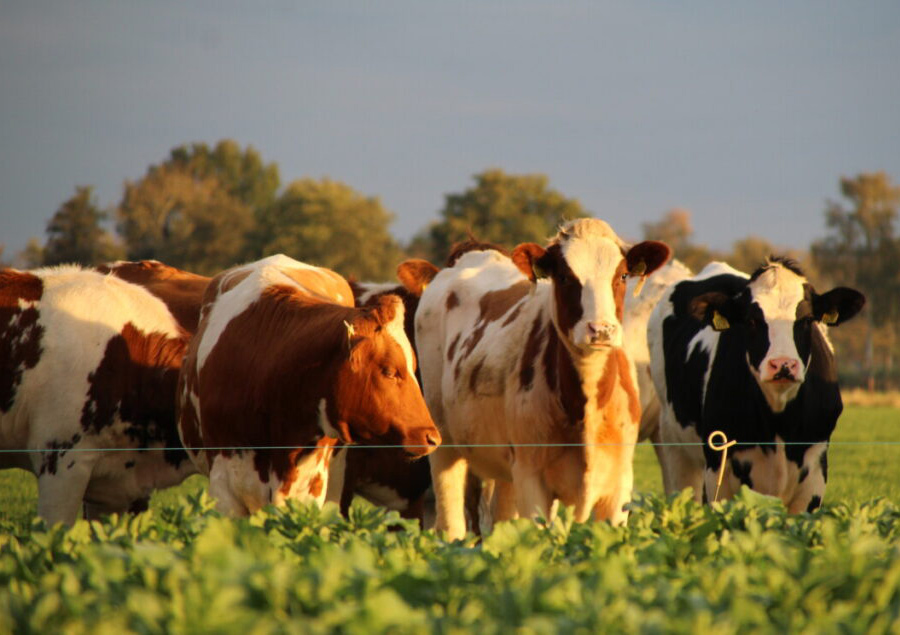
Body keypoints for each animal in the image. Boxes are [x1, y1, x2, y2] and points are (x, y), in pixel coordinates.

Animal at [414, 220, 668, 540]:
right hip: (444, 443)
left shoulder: (618, 487)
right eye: (564, 276)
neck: (584, 409)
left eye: (622, 275)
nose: (600, 330)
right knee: (452, 523)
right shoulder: (532, 482)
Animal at [652, 258, 868, 512]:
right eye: (752, 320)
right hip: (674, 447)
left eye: (806, 320)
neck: (779, 421)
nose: (783, 364)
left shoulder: (814, 477)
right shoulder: (719, 472)